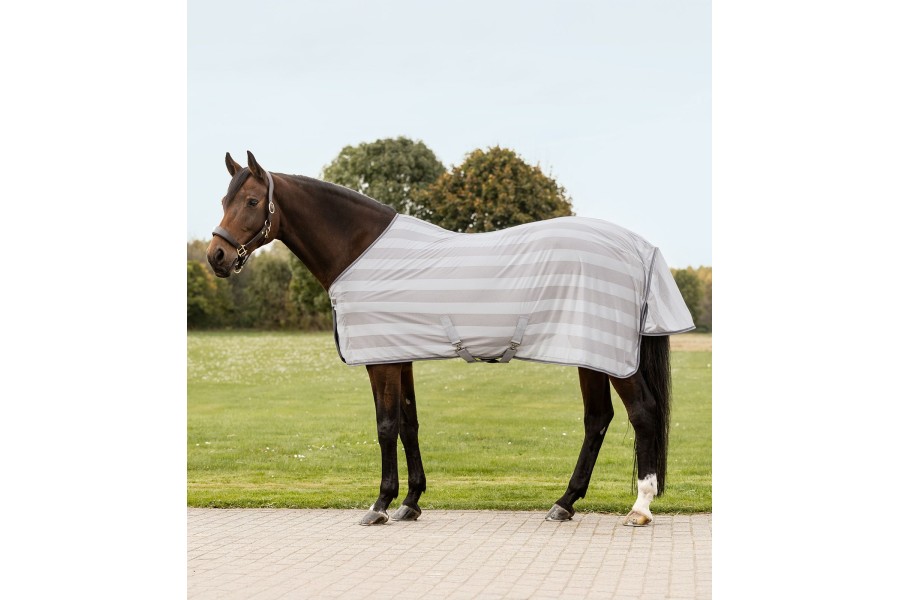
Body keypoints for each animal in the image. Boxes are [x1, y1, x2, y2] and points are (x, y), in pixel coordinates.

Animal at [206, 151, 694, 526]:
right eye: (225, 198)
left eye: (252, 200)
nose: (217, 256)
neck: (361, 249)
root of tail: (641, 249)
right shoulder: (400, 356)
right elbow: (409, 424)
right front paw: (410, 503)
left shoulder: (381, 360)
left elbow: (385, 426)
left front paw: (379, 505)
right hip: (589, 354)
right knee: (598, 420)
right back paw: (564, 503)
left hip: (611, 357)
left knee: (643, 413)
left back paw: (640, 508)